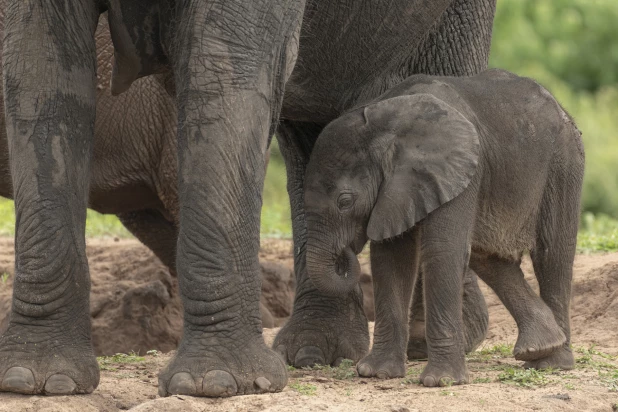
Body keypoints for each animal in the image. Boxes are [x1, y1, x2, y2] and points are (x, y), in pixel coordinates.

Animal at [0, 0, 490, 400]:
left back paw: (432, 342)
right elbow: (38, 71)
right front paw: (39, 381)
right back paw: (316, 353)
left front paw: (214, 384)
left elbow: (224, 68)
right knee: (313, 127)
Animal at [304, 69, 584, 388]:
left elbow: (442, 250)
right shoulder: (397, 188)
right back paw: (541, 348)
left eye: (345, 201)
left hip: (563, 161)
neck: (385, 122)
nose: (347, 251)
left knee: (552, 255)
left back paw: (552, 362)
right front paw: (378, 373)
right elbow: (391, 259)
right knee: (488, 257)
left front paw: (441, 381)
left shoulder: (454, 169)